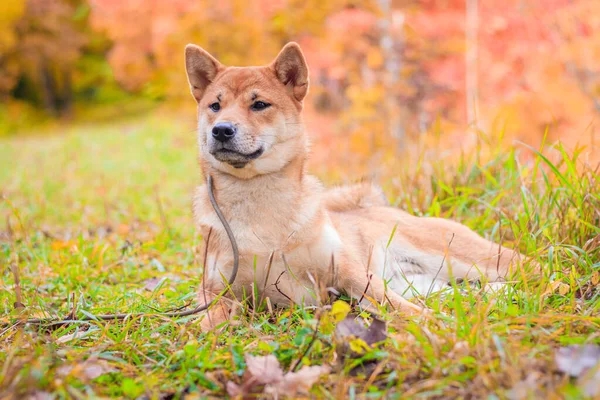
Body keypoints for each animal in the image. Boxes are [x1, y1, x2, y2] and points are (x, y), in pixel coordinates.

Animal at [185, 42, 524, 330]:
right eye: (215, 106)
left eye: (259, 105)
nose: (222, 130)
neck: (258, 203)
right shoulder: (217, 290)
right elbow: (208, 321)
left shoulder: (349, 272)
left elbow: (395, 305)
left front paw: (432, 324)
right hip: (431, 284)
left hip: (466, 258)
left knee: (525, 266)